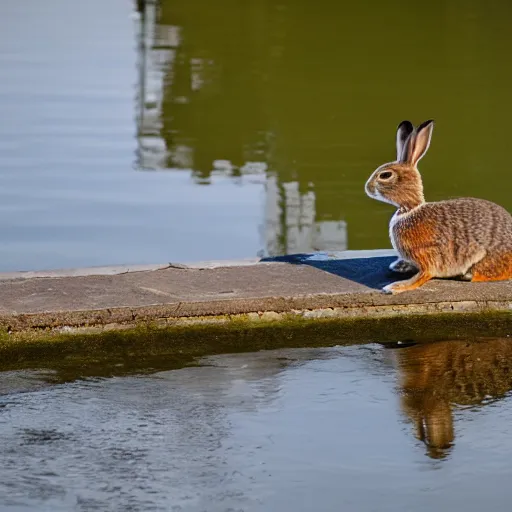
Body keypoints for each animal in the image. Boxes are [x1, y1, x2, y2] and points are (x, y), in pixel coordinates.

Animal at [364, 120, 512, 294]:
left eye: (385, 175)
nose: (367, 187)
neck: (410, 209)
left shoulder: (426, 256)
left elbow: (424, 275)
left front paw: (395, 287)